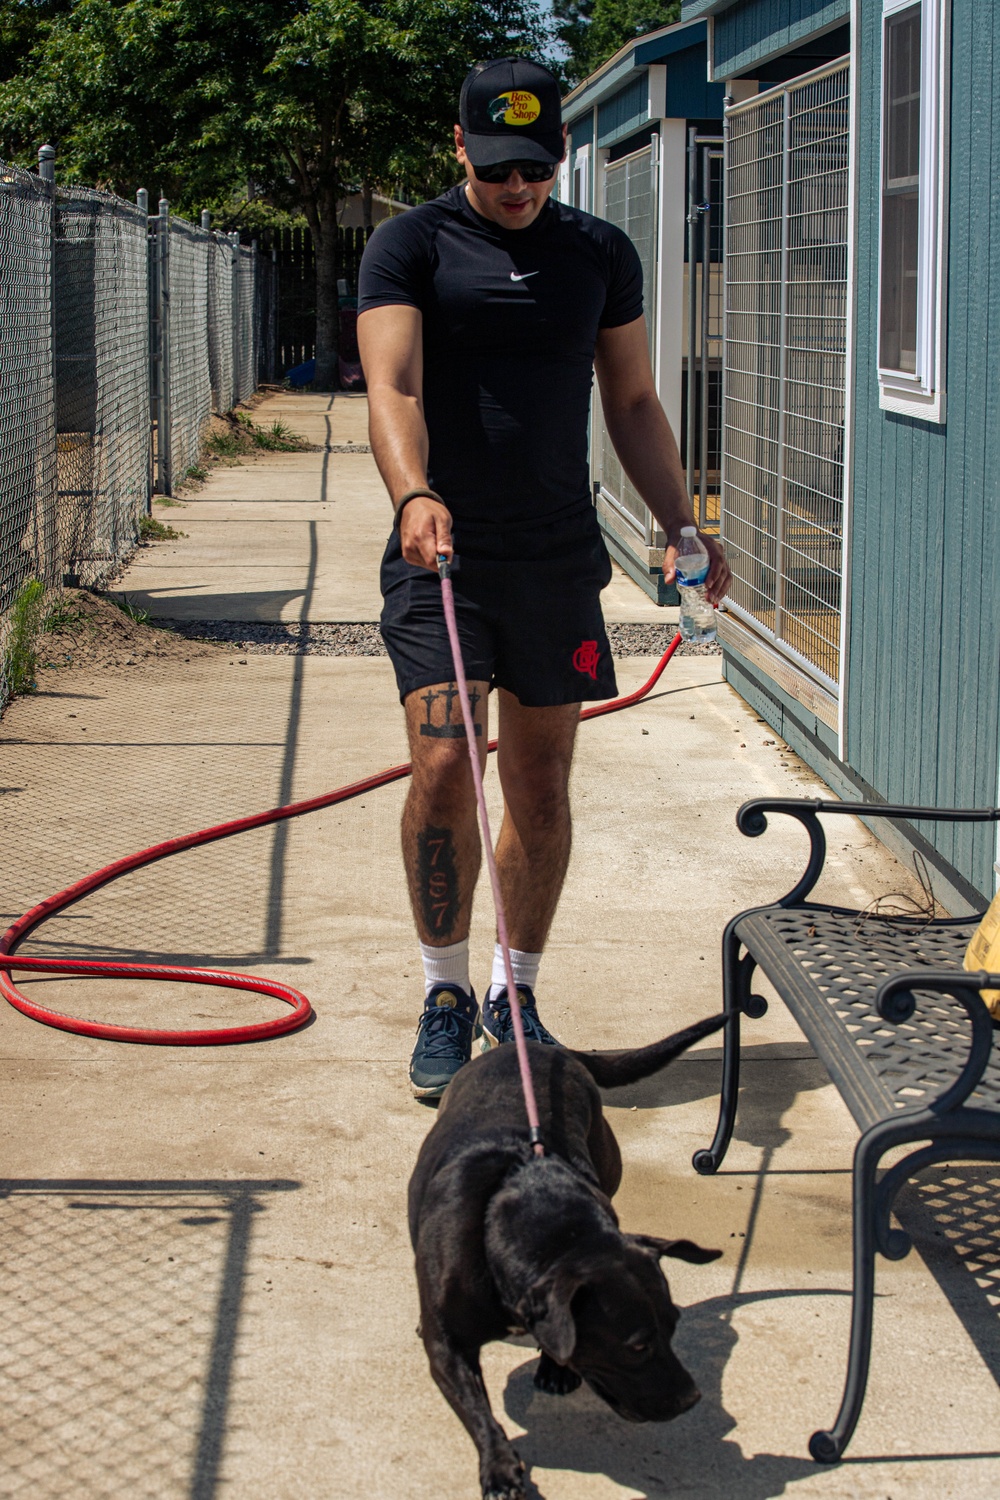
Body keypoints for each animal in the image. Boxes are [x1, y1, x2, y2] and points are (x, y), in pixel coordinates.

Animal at [407, 1014, 728, 1494]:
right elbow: (477, 1410)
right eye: (636, 1346)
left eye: (674, 1325)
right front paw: (499, 1466)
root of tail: (546, 1050)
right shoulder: (448, 1346)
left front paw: (557, 1367)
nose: (691, 1399)